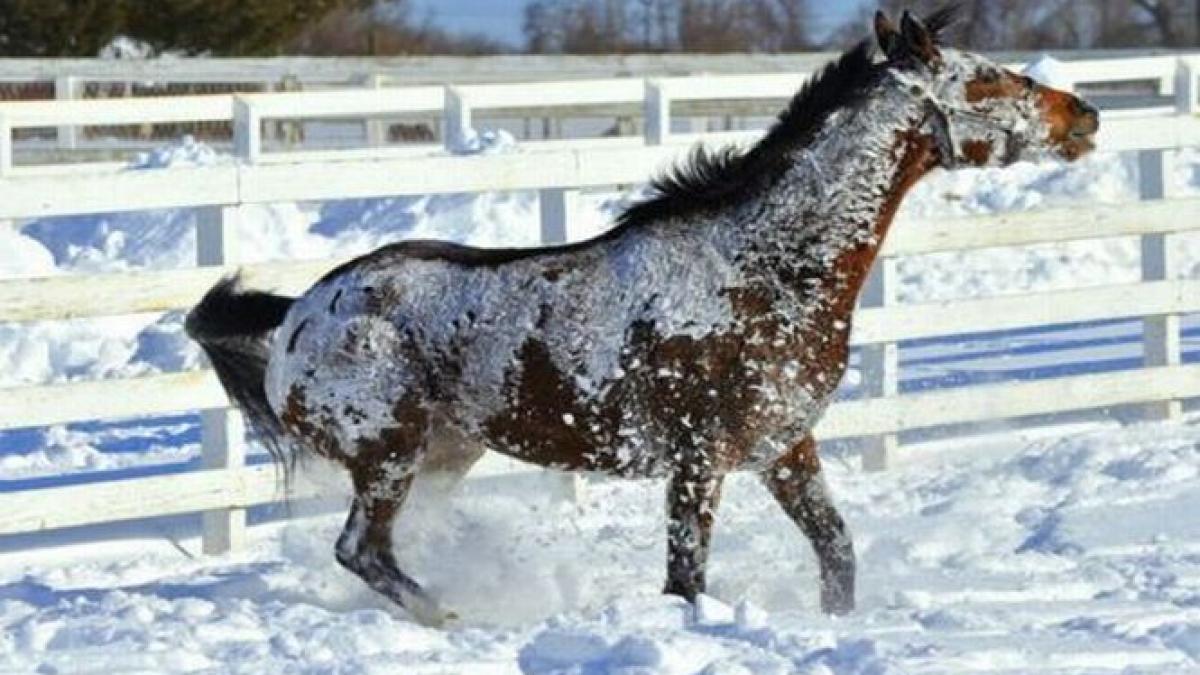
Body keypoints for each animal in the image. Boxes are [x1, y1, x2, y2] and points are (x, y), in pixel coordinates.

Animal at [187, 7, 1099, 624]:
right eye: (987, 78)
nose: (1084, 115)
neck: (761, 270)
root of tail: (302, 311)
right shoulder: (698, 460)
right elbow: (686, 579)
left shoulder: (784, 447)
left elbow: (837, 554)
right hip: (388, 454)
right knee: (361, 549)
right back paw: (454, 615)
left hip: (443, 453)